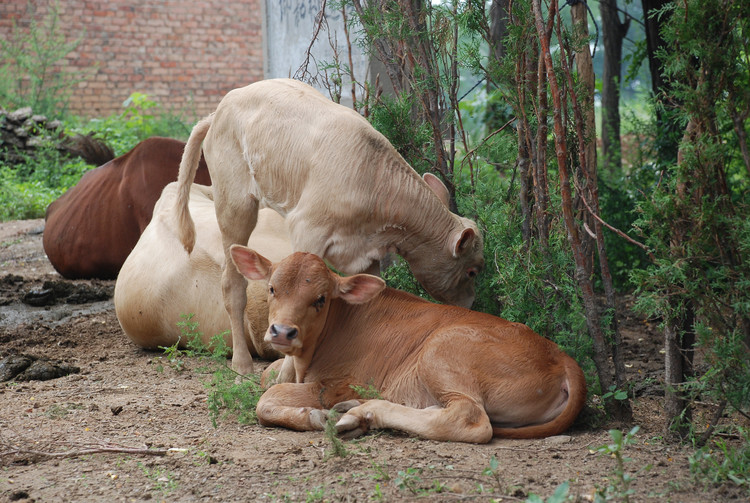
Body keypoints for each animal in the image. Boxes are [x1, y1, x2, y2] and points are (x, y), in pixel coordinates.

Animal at [173, 79, 484, 376]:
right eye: (471, 271)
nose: (469, 306)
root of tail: (219, 109)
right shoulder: (307, 228)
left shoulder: (366, 255)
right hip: (234, 203)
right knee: (233, 284)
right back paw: (242, 364)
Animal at [232, 248, 592, 444]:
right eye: (272, 288)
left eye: (320, 299)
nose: (282, 332)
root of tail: (562, 357)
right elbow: (267, 377)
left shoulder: (344, 383)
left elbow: (269, 397)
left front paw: (315, 415)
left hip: (442, 350)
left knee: (469, 418)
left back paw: (359, 413)